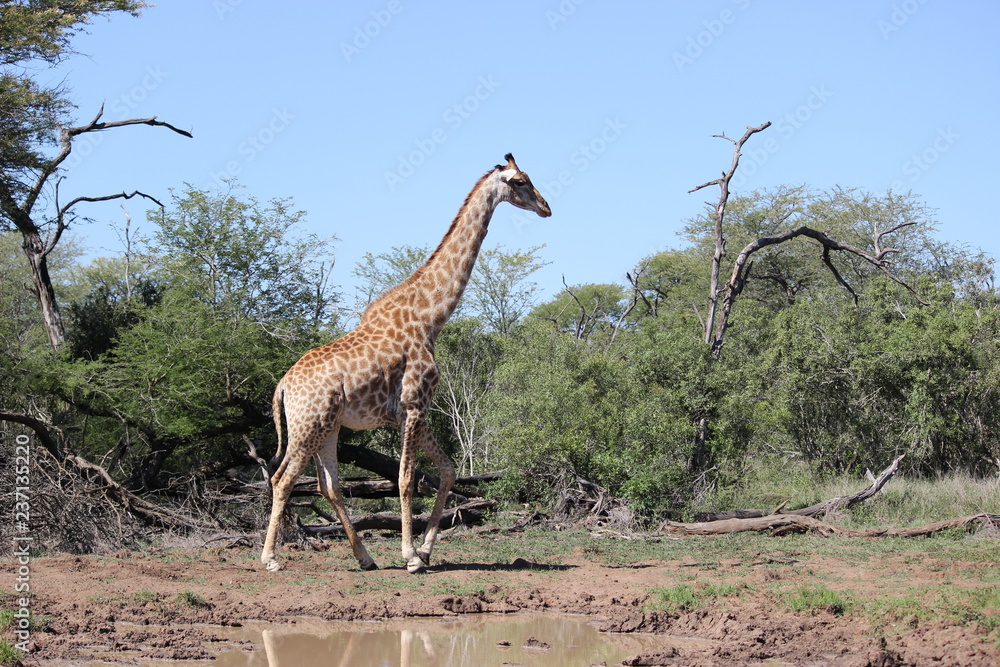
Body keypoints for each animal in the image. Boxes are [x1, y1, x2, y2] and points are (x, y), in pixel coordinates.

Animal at [261, 153, 551, 573]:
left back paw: (365, 558)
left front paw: (427, 551)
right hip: (307, 425)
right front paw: (411, 556)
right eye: (521, 181)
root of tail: (283, 386)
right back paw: (270, 559)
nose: (546, 207)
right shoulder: (414, 404)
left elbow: (447, 470)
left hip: (329, 427)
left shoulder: (410, 412)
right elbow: (406, 479)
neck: (431, 318)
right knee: (283, 479)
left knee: (328, 485)